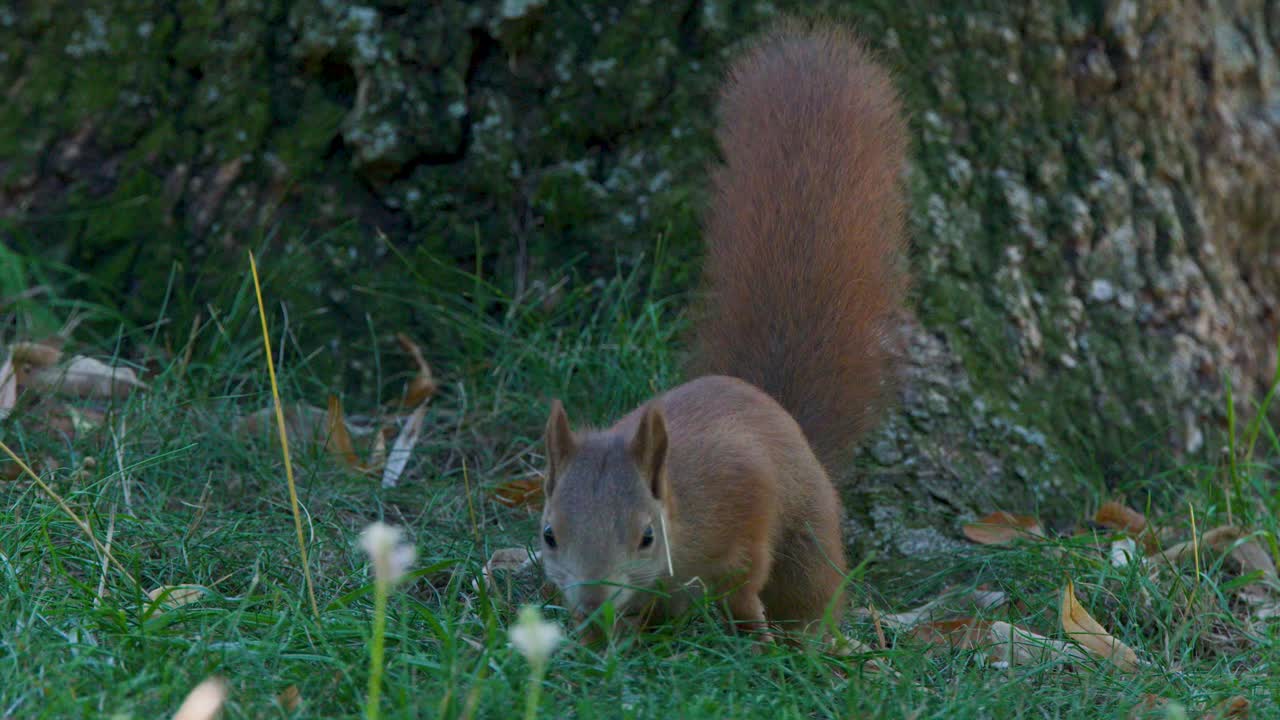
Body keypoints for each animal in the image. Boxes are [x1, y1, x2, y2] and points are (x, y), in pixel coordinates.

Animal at [537, 20, 908, 641]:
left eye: (646, 536)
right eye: (548, 535)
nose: (592, 603)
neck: (680, 506)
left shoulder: (744, 494)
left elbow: (745, 578)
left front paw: (753, 632)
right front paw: (593, 639)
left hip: (808, 541)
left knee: (809, 591)